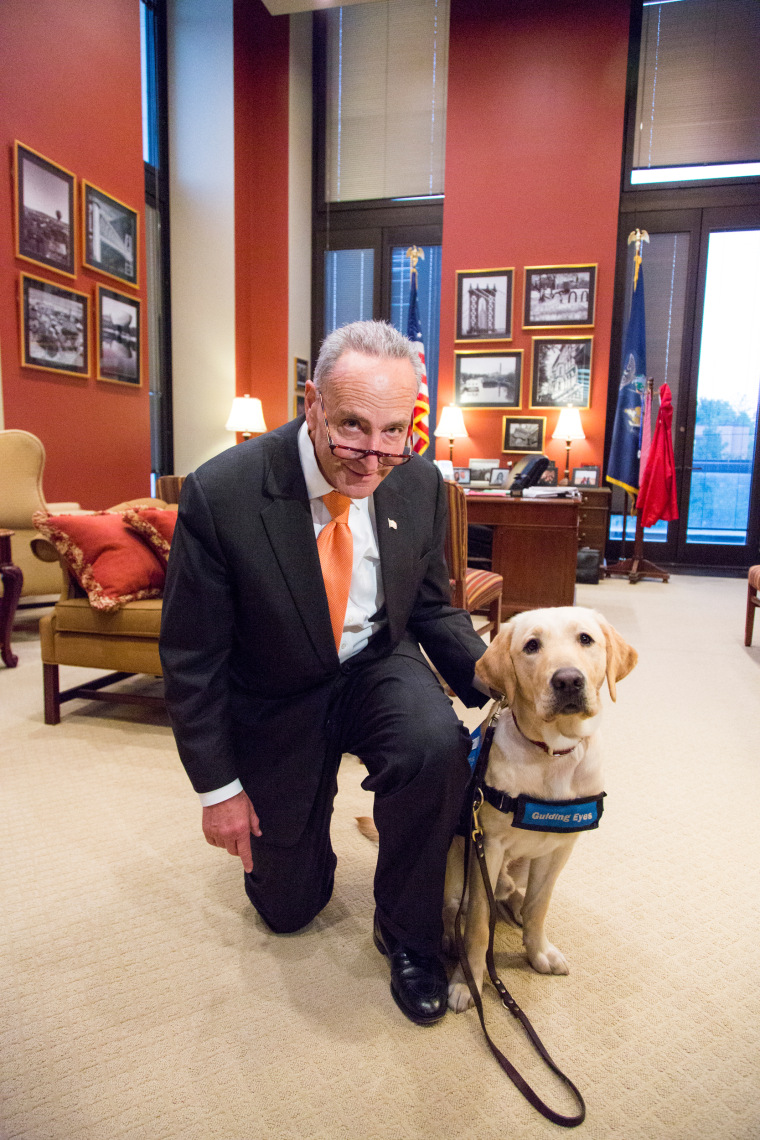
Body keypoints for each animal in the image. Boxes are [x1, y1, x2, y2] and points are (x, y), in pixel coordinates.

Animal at [446, 606, 638, 1016]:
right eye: (531, 645)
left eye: (586, 639)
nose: (568, 680)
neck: (553, 752)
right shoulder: (489, 846)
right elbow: (479, 924)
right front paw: (467, 981)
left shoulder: (560, 849)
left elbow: (539, 905)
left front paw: (538, 952)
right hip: (457, 865)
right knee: (456, 907)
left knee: (513, 894)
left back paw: (514, 904)